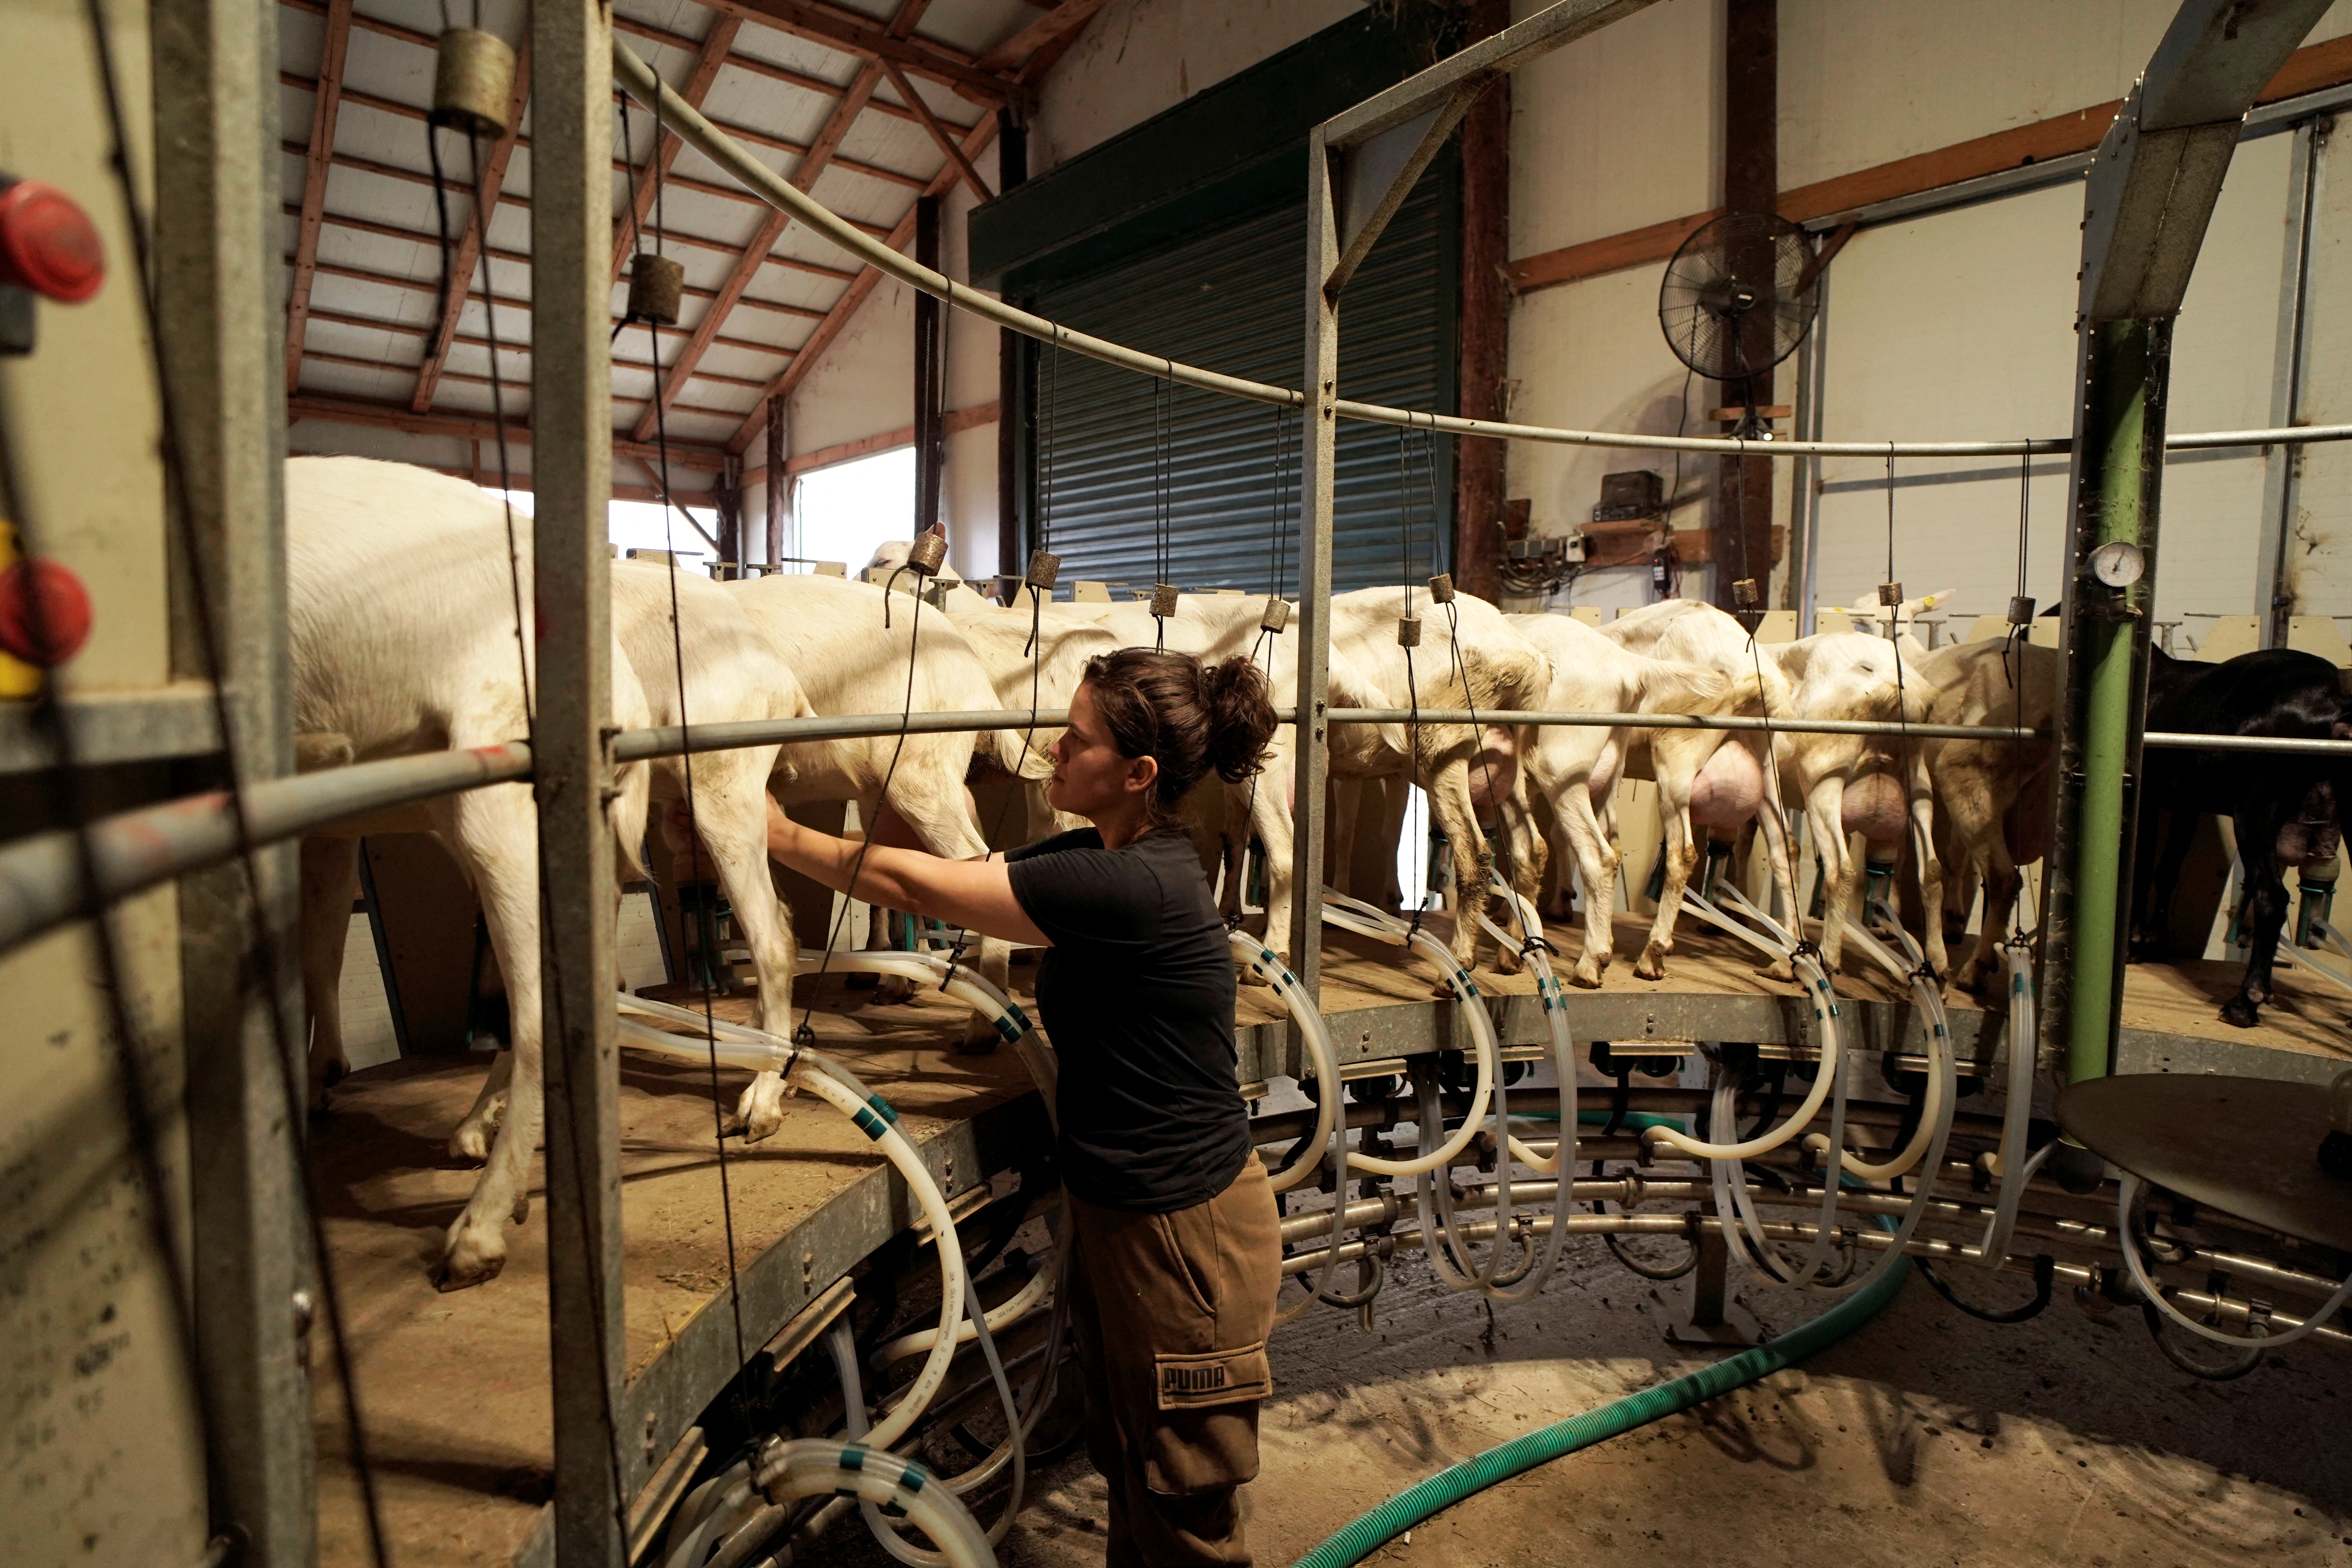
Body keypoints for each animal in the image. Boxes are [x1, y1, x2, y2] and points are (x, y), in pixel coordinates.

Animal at [2135, 649, 2352, 1029]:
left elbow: (2143, 866)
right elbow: (2168, 871)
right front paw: (2154, 942)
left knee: (2271, 896)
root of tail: (2332, 705)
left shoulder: (2147, 793)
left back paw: (2244, 1002)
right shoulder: (2186, 803)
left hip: (2255, 808)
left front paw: (2135, 941)